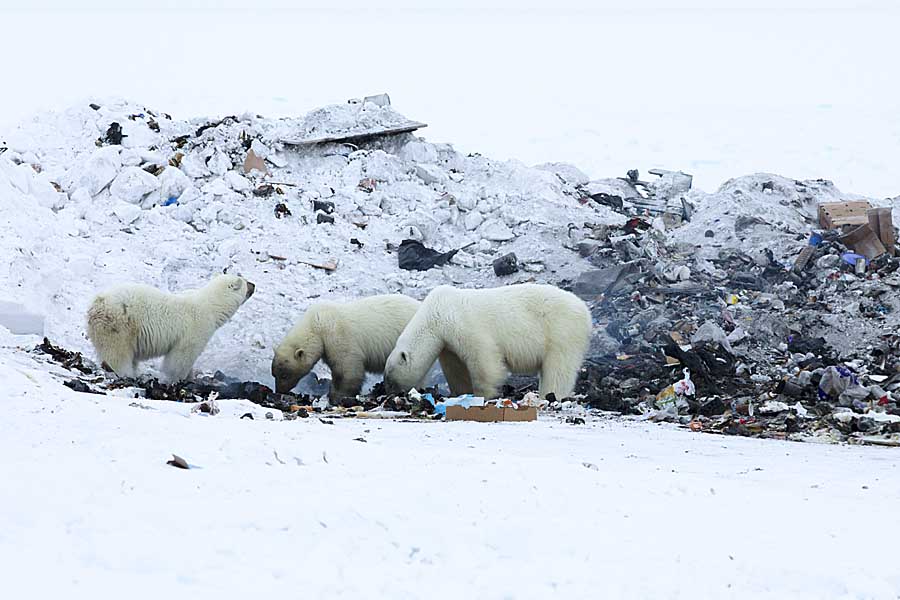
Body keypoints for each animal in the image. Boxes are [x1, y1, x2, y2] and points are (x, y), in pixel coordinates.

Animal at [86, 274, 255, 380]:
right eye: (245, 282)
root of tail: (97, 304)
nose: (254, 284)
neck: (211, 306)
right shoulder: (196, 328)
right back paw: (127, 374)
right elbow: (181, 357)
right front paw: (177, 378)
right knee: (118, 354)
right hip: (118, 326)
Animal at [384, 284, 596, 400]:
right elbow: (456, 368)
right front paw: (461, 393)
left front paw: (484, 395)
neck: (436, 313)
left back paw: (549, 395)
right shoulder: (448, 343)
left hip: (561, 330)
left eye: (390, 379)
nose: (387, 391)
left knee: (558, 367)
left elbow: (484, 360)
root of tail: (585, 310)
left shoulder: (463, 324)